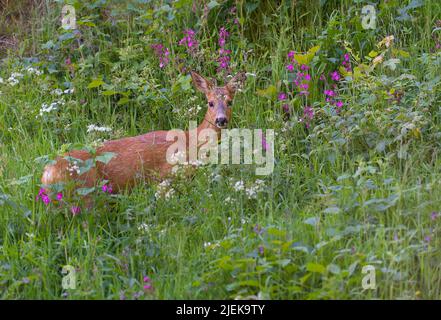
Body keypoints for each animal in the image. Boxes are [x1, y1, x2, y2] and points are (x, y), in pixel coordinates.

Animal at [41, 71, 246, 192]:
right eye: (210, 103)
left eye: (230, 102)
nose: (221, 120)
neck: (193, 141)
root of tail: (47, 174)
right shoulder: (168, 173)